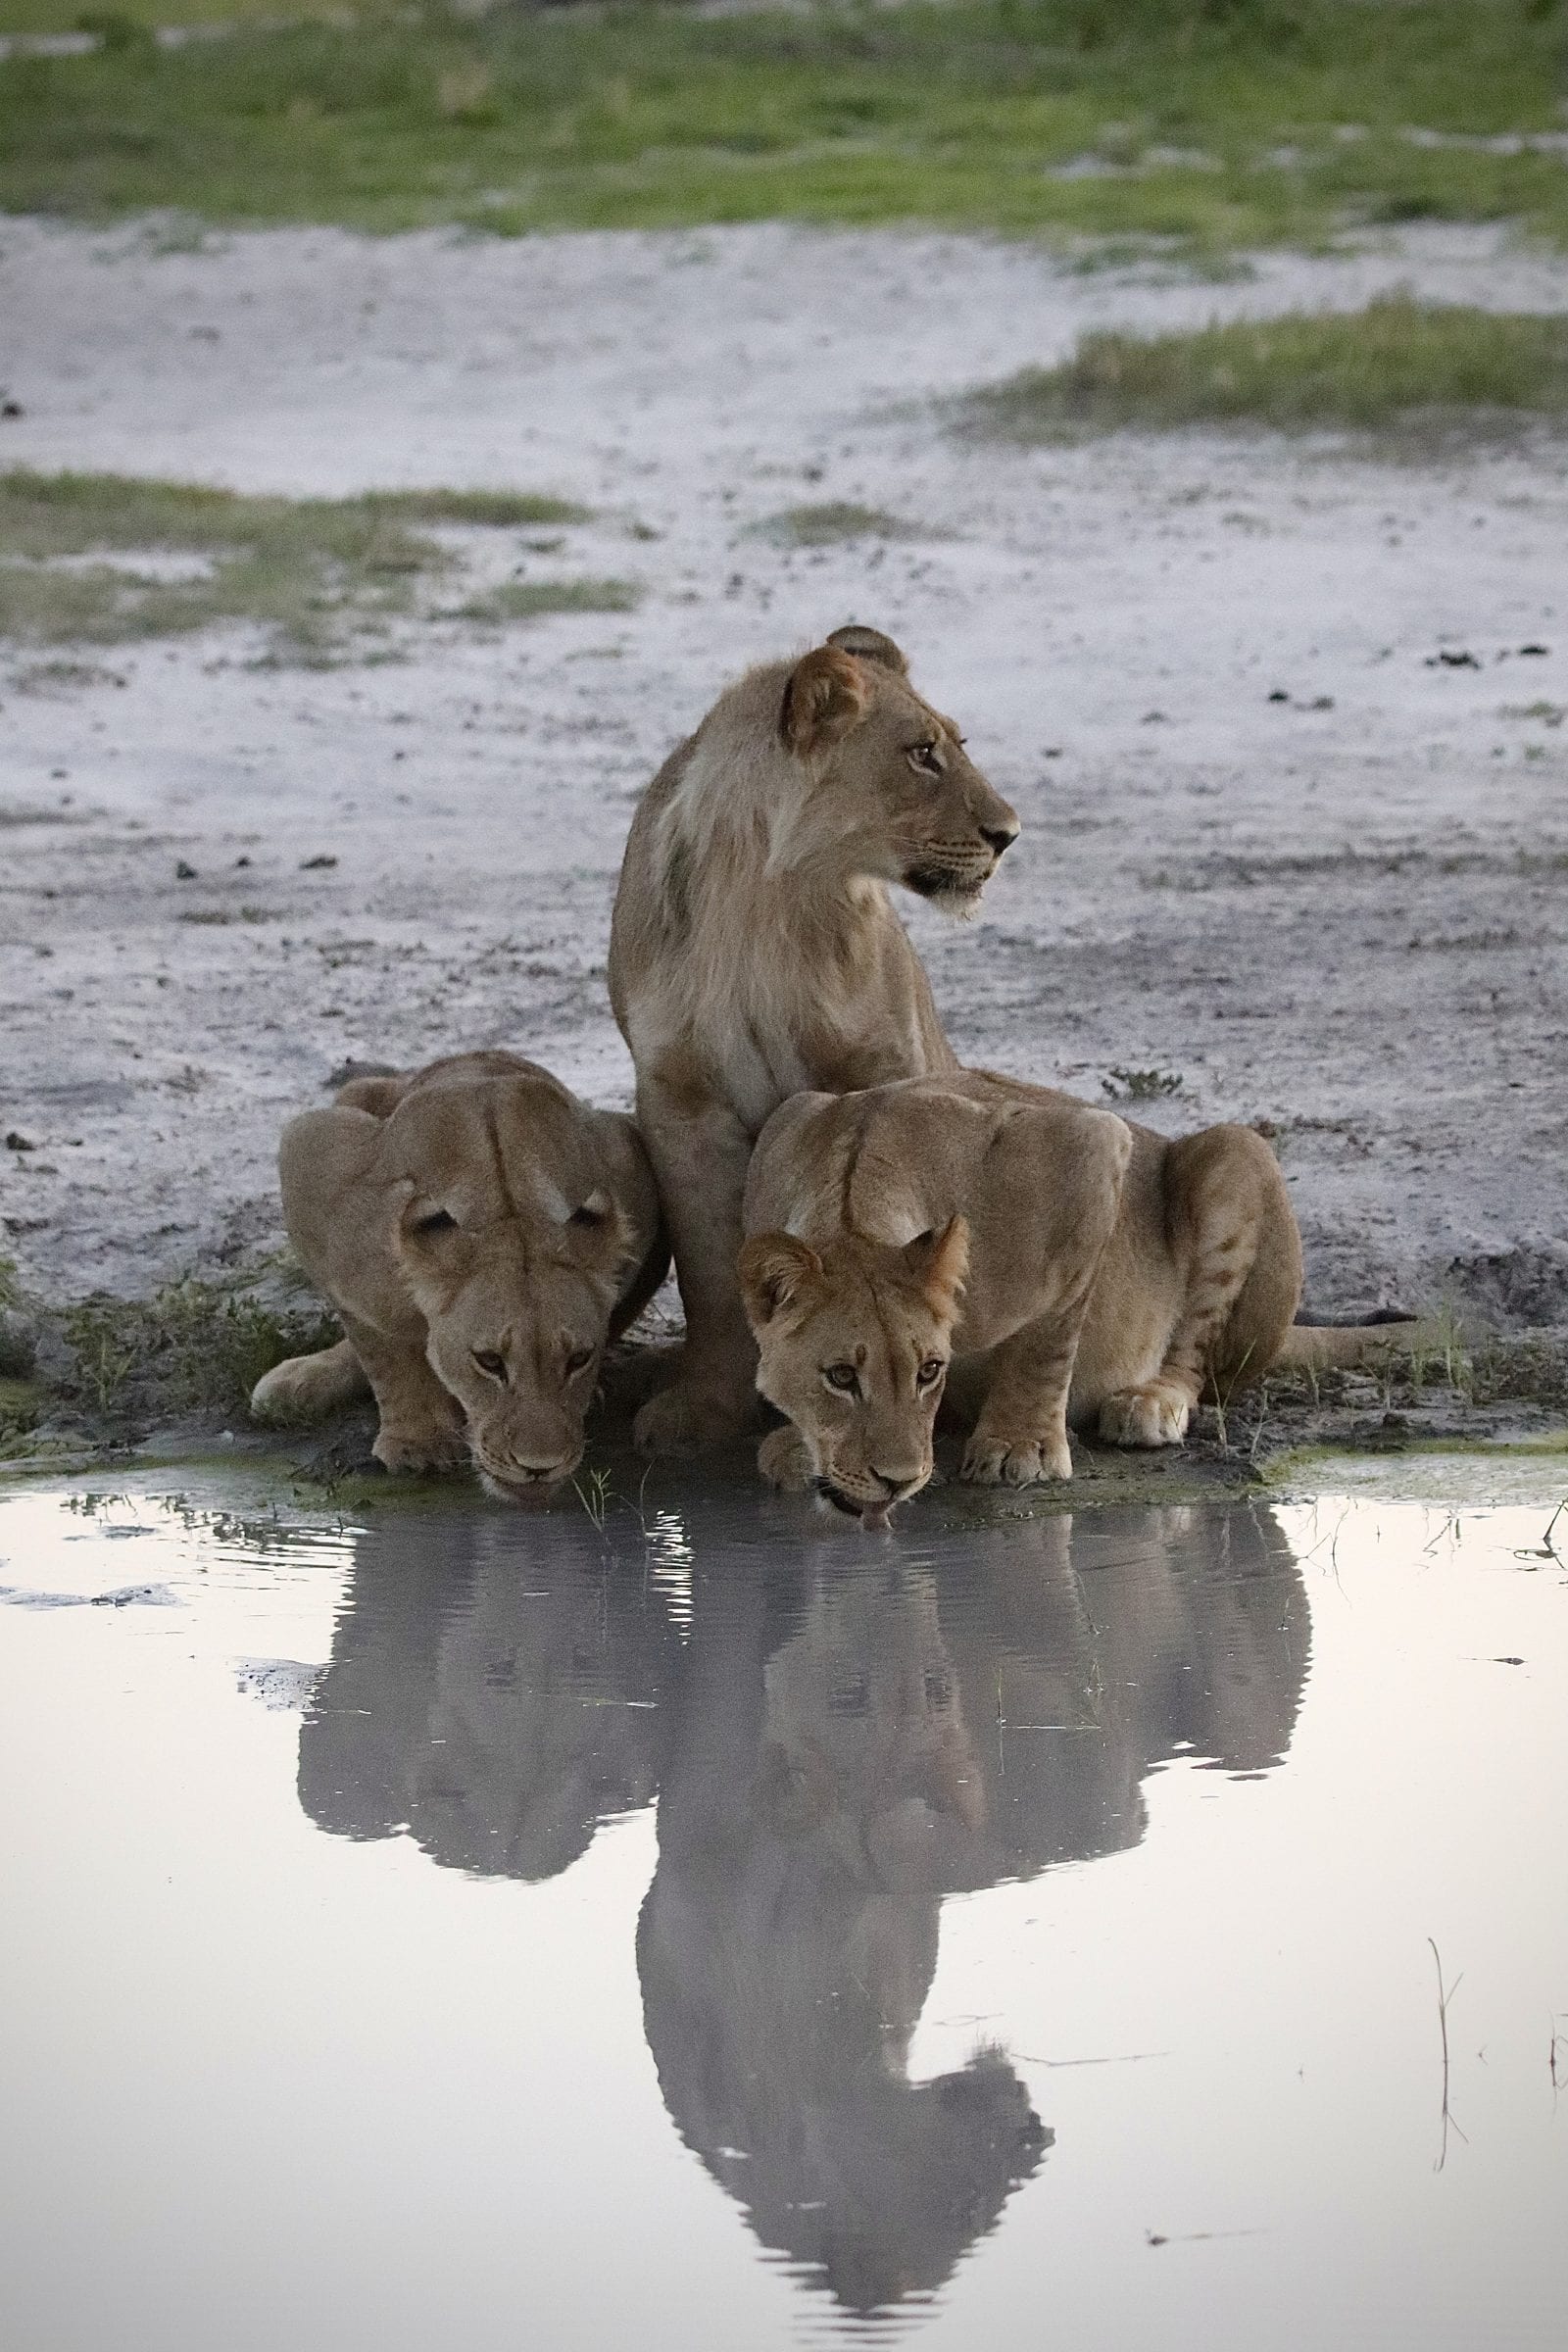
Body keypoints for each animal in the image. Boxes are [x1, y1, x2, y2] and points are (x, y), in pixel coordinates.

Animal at [249, 1051, 667, 1495]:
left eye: (578, 1359)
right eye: (489, 1361)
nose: (540, 1467)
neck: (509, 1205)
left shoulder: (627, 1158)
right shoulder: (314, 1155)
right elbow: (379, 1344)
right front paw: (418, 1442)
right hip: (358, 1091)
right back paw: (297, 1382)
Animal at [607, 625, 1019, 1454]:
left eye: (957, 744)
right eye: (922, 753)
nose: (1009, 834)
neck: (768, 896)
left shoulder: (881, 1068)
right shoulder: (680, 1101)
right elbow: (709, 1270)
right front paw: (704, 1409)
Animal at [738, 1069, 1307, 1523]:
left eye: (929, 1371)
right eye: (840, 1376)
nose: (898, 1480)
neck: (852, 1189)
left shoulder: (1091, 1146)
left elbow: (1047, 1336)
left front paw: (1021, 1447)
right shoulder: (784, 1125)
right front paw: (793, 1446)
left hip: (1234, 1151)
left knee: (1196, 1361)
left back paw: (1150, 1402)